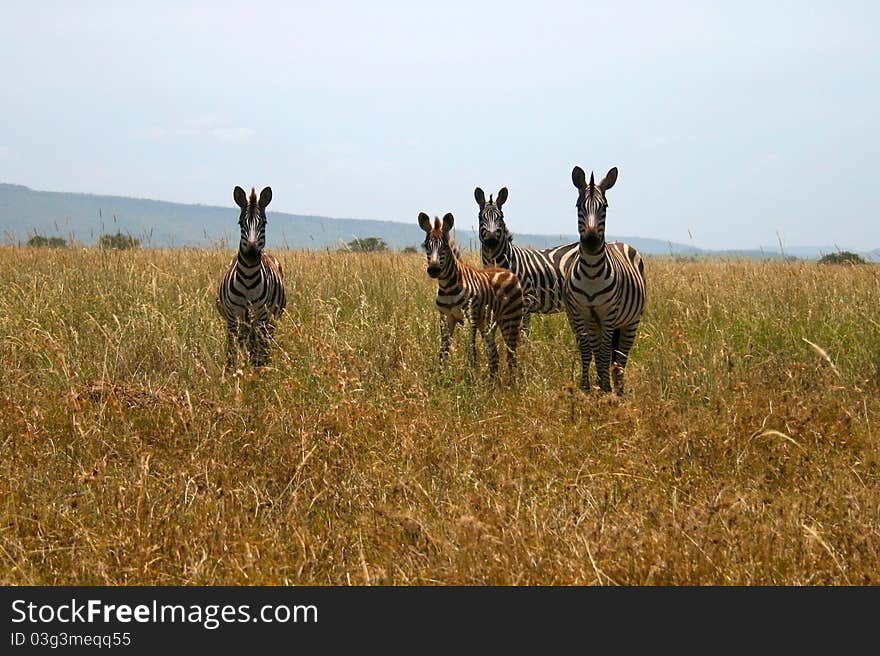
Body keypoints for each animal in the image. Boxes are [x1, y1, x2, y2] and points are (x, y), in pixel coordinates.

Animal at [216, 186, 288, 368]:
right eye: (241, 223)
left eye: (264, 223)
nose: (251, 255)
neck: (248, 278)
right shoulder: (233, 318)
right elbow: (232, 353)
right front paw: (232, 373)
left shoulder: (261, 317)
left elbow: (258, 355)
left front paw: (256, 373)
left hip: (268, 322)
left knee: (263, 347)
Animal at [418, 213, 524, 380]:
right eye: (426, 245)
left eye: (445, 246)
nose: (434, 270)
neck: (448, 287)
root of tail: (508, 272)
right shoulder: (446, 317)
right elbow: (443, 351)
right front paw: (441, 378)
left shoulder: (471, 317)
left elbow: (471, 350)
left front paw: (470, 379)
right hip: (487, 323)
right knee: (494, 355)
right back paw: (492, 383)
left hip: (511, 319)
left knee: (511, 354)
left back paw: (512, 383)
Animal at [564, 169, 648, 394]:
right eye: (578, 205)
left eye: (605, 206)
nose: (592, 243)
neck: (592, 271)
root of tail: (620, 243)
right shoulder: (582, 313)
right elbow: (588, 351)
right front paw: (586, 387)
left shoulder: (609, 314)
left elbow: (603, 353)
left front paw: (606, 388)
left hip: (630, 321)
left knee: (621, 355)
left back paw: (618, 388)